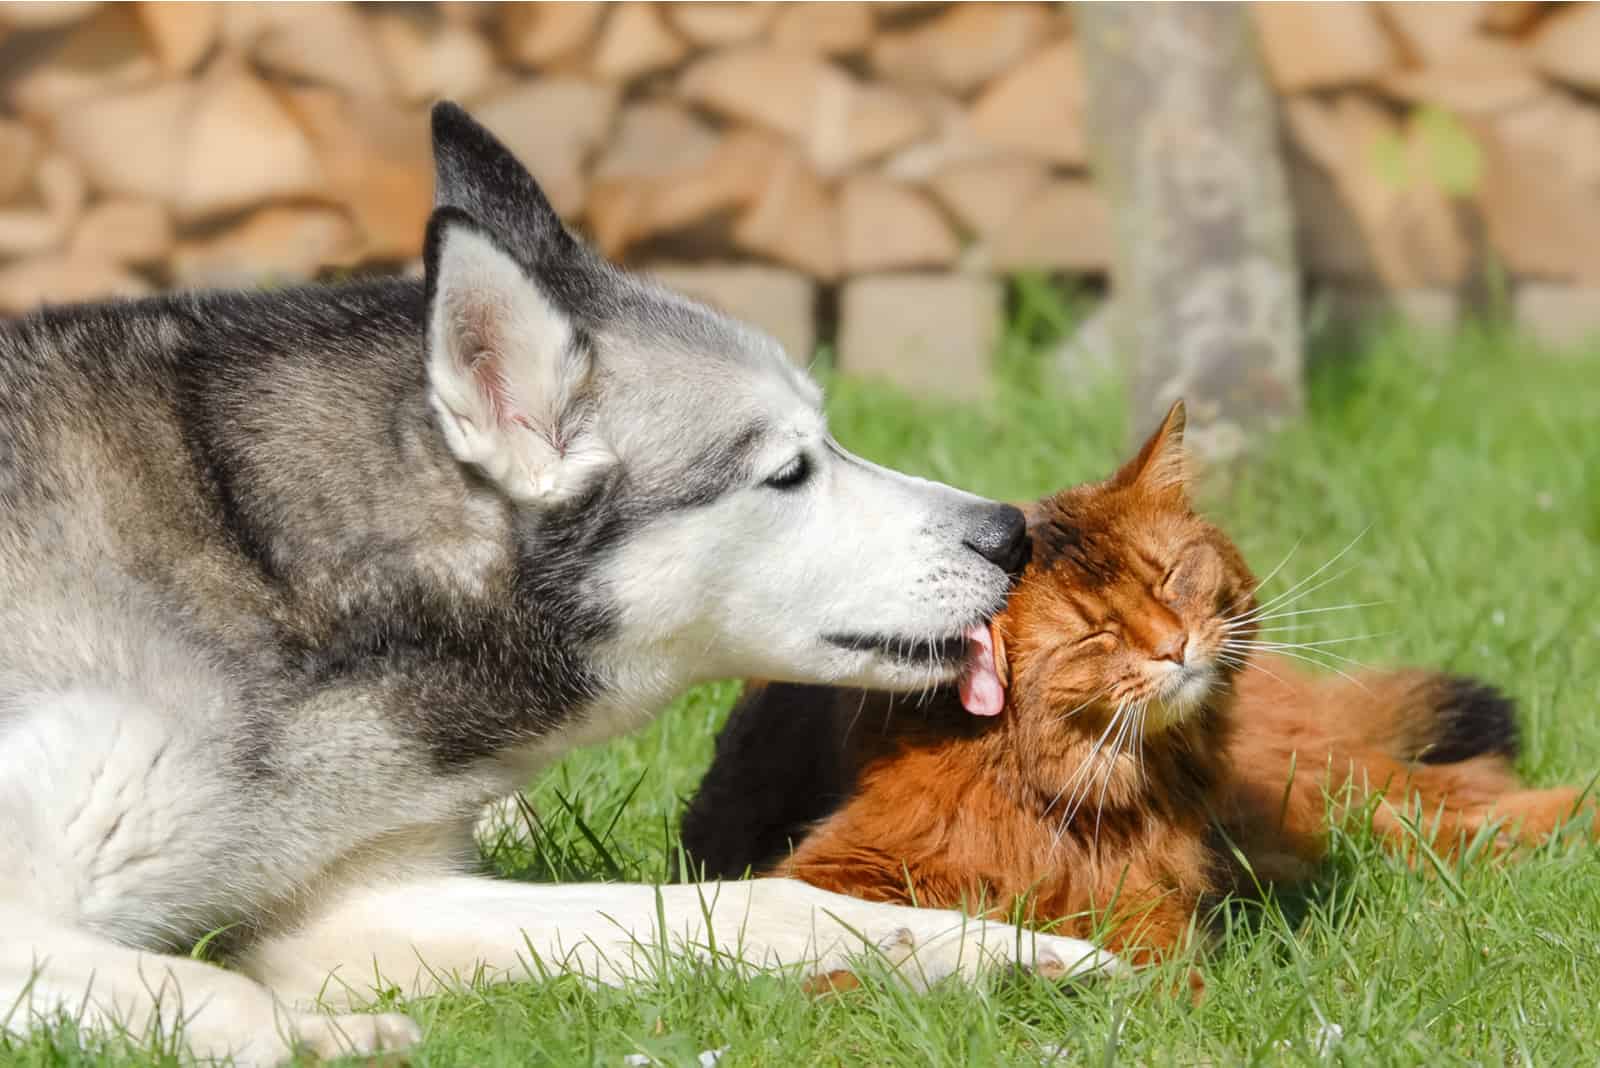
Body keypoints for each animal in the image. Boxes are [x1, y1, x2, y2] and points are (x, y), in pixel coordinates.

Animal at [0, 103, 1120, 1061]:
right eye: (787, 471)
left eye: (827, 435)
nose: (1012, 534)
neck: (282, 573)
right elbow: (205, 982)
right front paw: (313, 1038)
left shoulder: (366, 905)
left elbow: (754, 903)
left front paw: (996, 952)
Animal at [681, 404, 1593, 972]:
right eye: (1095, 630)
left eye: (1169, 577)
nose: (1174, 645)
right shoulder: (836, 870)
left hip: (1306, 782)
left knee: (1444, 796)